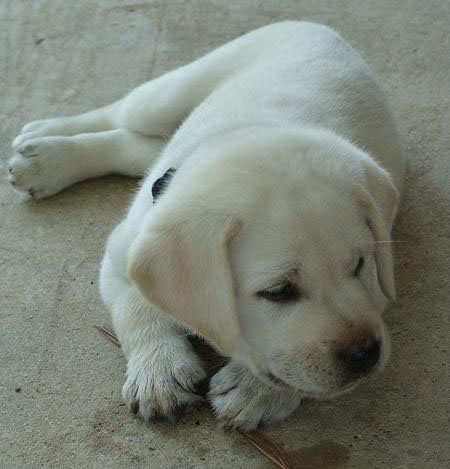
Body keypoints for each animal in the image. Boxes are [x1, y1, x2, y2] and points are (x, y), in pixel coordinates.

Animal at [8, 22, 406, 432]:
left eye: (359, 266)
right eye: (278, 292)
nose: (366, 354)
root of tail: (318, 27)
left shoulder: (380, 280)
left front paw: (257, 390)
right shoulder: (120, 256)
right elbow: (138, 310)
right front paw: (159, 370)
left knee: (135, 145)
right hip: (166, 96)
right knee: (120, 114)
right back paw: (44, 143)